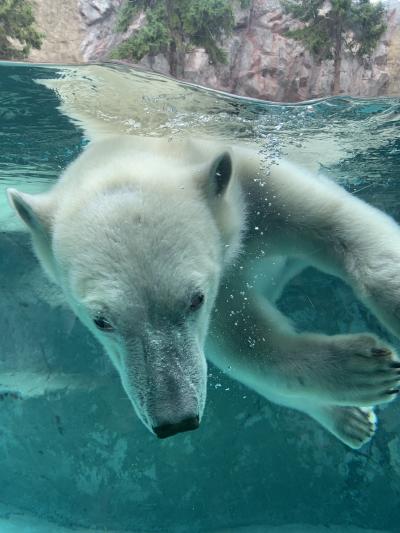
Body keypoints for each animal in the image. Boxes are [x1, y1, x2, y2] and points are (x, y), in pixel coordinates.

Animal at [7, 133, 400, 444]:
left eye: (195, 300)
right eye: (101, 320)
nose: (175, 421)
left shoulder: (259, 185)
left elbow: (340, 224)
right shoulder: (224, 290)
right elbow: (246, 344)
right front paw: (366, 368)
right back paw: (352, 420)